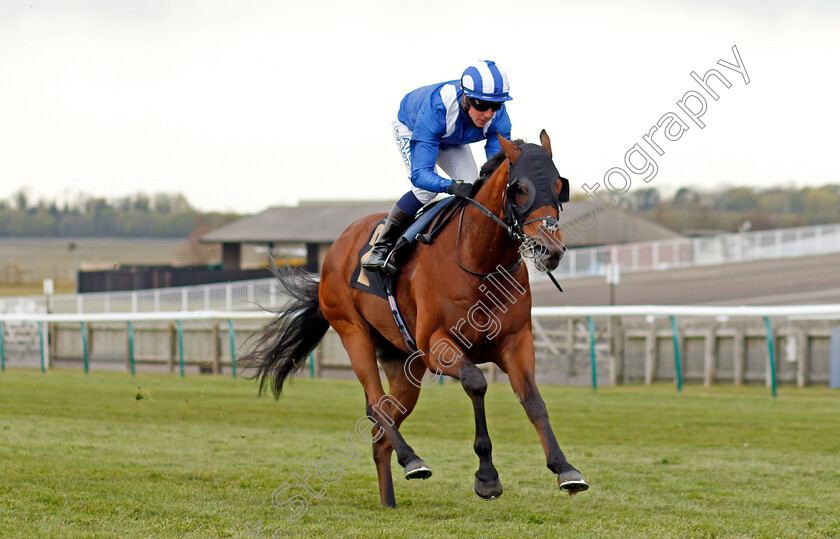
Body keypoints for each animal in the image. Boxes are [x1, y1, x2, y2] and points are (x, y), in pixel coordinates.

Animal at [246, 130, 588, 506]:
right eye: (520, 189)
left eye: (558, 185)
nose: (550, 250)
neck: (480, 262)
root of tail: (338, 246)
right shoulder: (437, 346)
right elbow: (476, 383)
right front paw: (487, 476)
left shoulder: (516, 342)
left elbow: (533, 400)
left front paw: (565, 468)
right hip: (353, 331)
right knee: (376, 405)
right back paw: (412, 459)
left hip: (404, 363)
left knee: (382, 428)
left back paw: (389, 499)